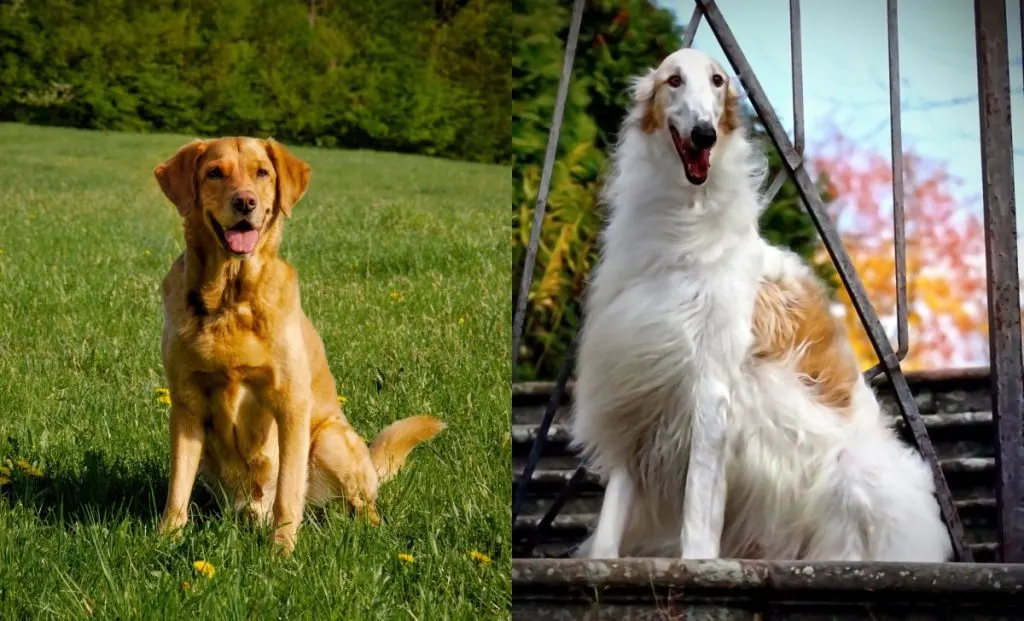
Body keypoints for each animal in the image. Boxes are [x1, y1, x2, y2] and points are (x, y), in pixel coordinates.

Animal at [153, 140, 442, 553]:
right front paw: (166, 539)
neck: (232, 298)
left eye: (262, 173)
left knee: (362, 504)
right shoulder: (186, 405)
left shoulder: (290, 405)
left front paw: (281, 552)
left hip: (330, 441)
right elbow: (178, 487)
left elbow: (287, 494)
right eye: (214, 173)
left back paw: (371, 531)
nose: (246, 202)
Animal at [569, 48, 950, 565]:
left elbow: (698, 510)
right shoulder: (638, 383)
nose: (704, 133)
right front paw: (603, 560)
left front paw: (696, 562)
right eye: (673, 80)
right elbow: (612, 516)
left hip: (854, 475)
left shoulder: (711, 390)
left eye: (718, 81)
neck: (683, 228)